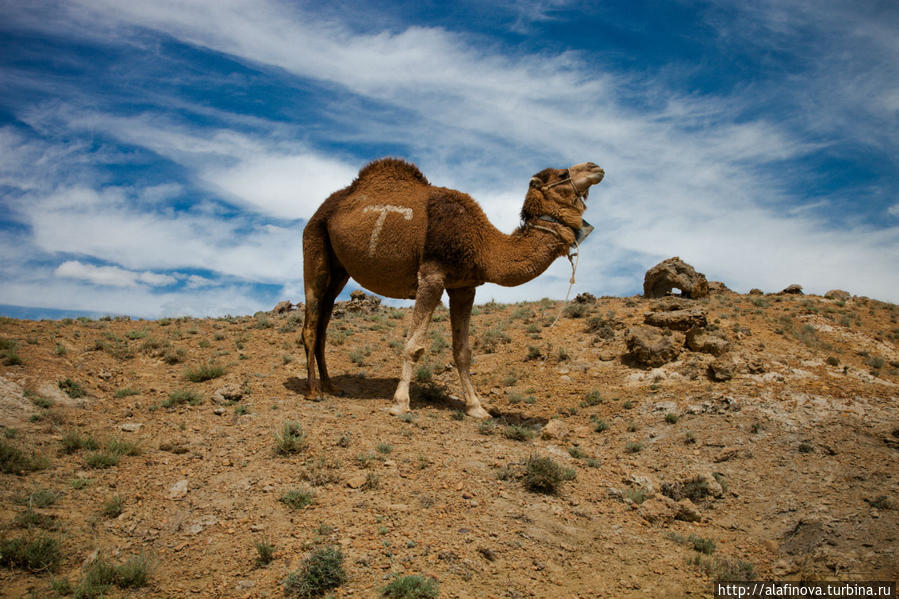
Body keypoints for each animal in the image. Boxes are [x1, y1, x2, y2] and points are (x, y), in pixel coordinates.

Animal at [302, 159, 604, 422]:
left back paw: (330, 386)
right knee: (311, 321)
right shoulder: (432, 276)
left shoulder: (464, 286)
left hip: (340, 270)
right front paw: (400, 403)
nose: (596, 167)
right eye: (562, 174)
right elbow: (414, 346)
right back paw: (313, 391)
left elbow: (463, 351)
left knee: (323, 322)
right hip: (315, 245)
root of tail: (321, 210)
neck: (483, 245)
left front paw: (476, 408)